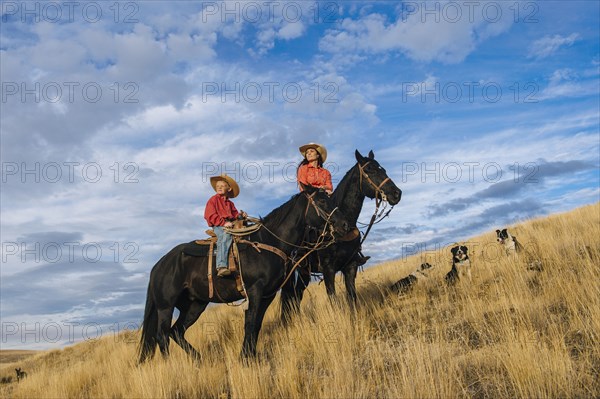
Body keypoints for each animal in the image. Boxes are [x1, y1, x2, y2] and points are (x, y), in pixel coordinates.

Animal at [138, 185, 350, 362]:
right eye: (321, 201)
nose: (344, 225)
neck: (267, 243)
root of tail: (159, 265)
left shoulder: (267, 295)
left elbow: (256, 325)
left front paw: (251, 355)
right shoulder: (254, 290)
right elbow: (250, 323)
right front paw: (246, 358)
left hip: (194, 305)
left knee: (176, 332)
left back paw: (198, 361)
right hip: (165, 306)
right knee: (162, 335)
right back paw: (172, 365)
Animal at [282, 150, 404, 318]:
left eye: (383, 169)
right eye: (369, 170)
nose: (396, 194)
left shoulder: (350, 267)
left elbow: (352, 297)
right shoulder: (328, 270)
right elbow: (333, 300)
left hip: (305, 272)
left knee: (296, 295)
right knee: (292, 297)